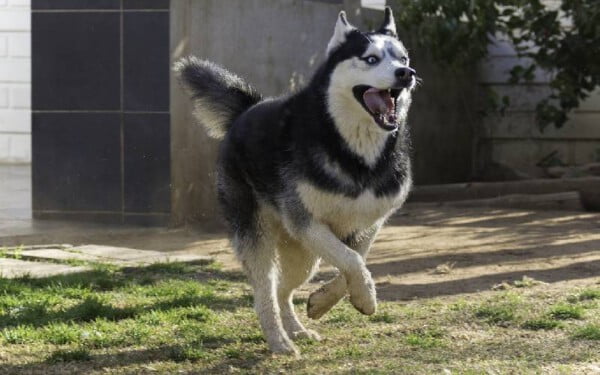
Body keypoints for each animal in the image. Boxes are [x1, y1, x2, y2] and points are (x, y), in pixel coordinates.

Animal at [176, 7, 414, 356]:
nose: (406, 73)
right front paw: (366, 297)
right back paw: (279, 340)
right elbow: (352, 260)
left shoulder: (369, 222)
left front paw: (328, 301)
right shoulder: (304, 220)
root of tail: (248, 108)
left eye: (403, 57)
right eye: (370, 59)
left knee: (282, 290)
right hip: (259, 236)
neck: (352, 151)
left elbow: (357, 259)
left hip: (303, 255)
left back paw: (296, 329)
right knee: (264, 293)